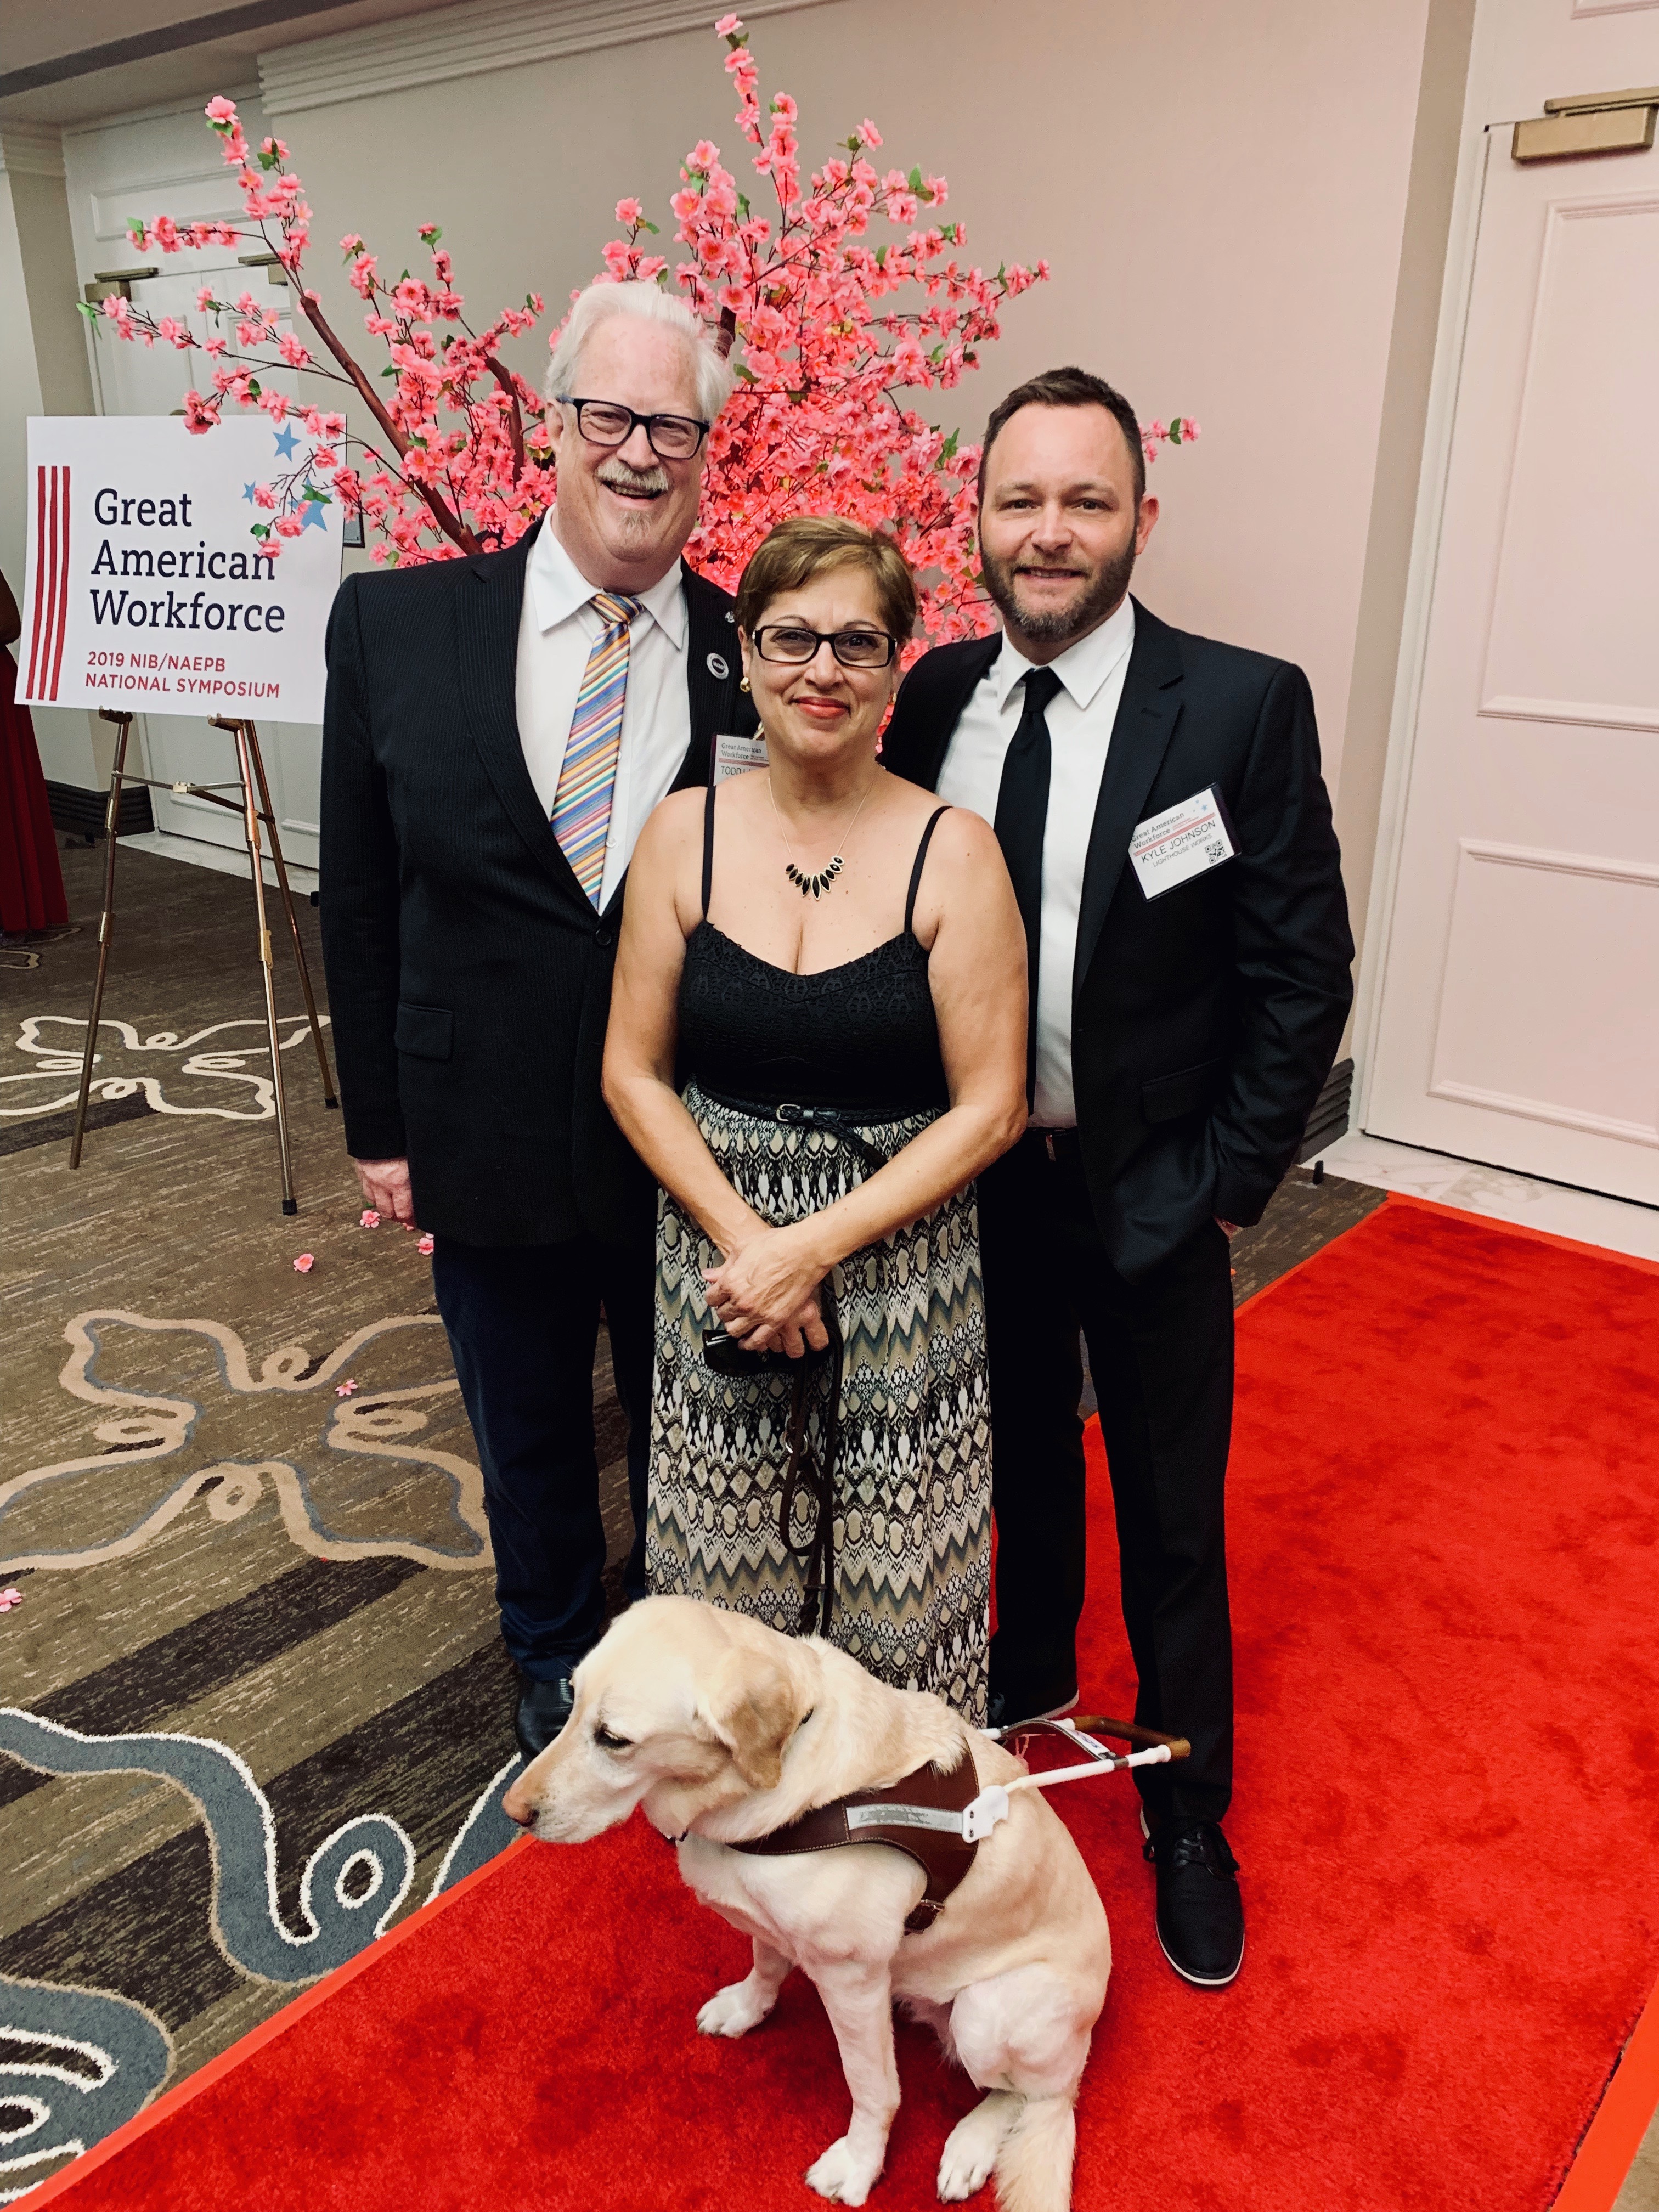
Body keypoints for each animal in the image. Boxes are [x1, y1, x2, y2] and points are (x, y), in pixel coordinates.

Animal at [500, 1601, 1110, 2212]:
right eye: (572, 1700)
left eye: (613, 1738)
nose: (513, 1812)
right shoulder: (772, 1924)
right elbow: (766, 1966)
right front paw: (745, 2008)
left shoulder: (851, 1980)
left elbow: (872, 2088)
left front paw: (860, 2163)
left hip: (988, 2012)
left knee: (1036, 2095)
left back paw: (971, 2145)